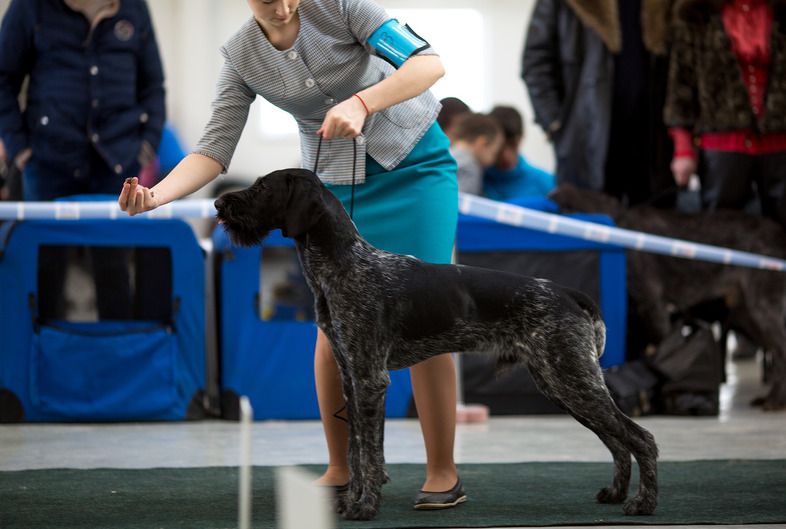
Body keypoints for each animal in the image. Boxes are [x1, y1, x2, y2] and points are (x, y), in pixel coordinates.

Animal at [213, 169, 656, 520]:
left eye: (262, 188)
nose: (218, 202)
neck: (342, 263)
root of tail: (566, 292)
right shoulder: (351, 380)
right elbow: (356, 451)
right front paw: (352, 501)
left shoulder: (370, 380)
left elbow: (369, 454)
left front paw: (364, 507)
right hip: (562, 385)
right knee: (618, 442)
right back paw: (615, 494)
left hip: (573, 380)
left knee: (640, 438)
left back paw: (642, 504)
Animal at [544, 184, 784, 410]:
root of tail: (777, 231)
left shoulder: (654, 308)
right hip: (745, 314)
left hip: (763, 308)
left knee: (780, 350)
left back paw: (775, 400)